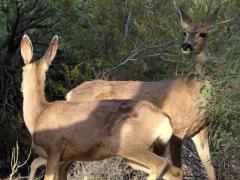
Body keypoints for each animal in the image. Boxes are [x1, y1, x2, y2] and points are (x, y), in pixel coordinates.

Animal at [21, 34, 182, 180]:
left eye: (22, 69)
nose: (21, 88)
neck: (38, 114)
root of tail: (165, 120)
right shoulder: (64, 156)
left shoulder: (54, 147)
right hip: (142, 151)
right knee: (175, 171)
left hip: (128, 144)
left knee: (161, 165)